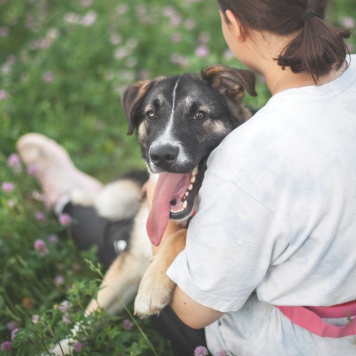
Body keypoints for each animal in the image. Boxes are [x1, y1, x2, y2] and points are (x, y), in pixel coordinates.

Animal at [50, 65, 256, 354]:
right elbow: (90, 315)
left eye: (199, 114)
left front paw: (151, 288)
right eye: (151, 115)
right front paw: (60, 346)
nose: (161, 155)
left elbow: (179, 236)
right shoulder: (131, 260)